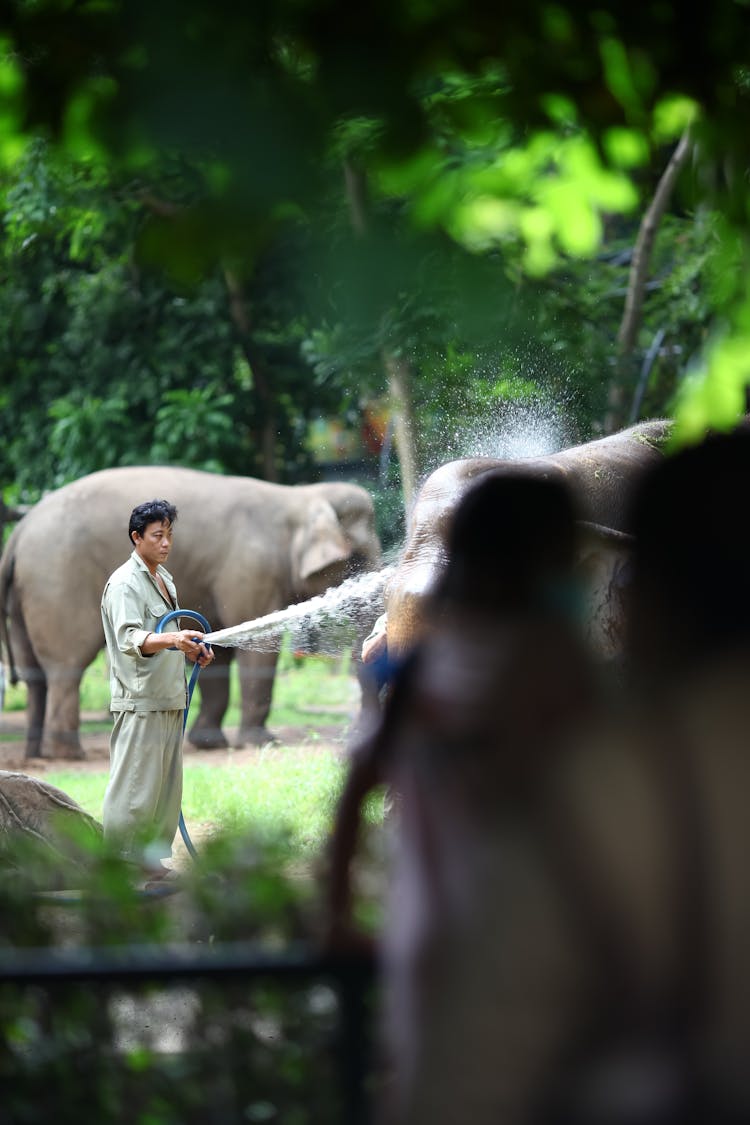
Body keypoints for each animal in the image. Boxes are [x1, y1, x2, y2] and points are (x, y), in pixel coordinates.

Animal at [0, 461, 377, 760]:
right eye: (356, 560)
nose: (357, 734)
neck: (299, 496)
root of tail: (18, 531)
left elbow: (219, 652)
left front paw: (209, 742)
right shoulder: (250, 569)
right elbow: (255, 651)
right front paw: (262, 742)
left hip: (27, 592)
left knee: (34, 675)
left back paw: (36, 754)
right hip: (56, 581)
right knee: (66, 665)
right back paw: (67, 753)